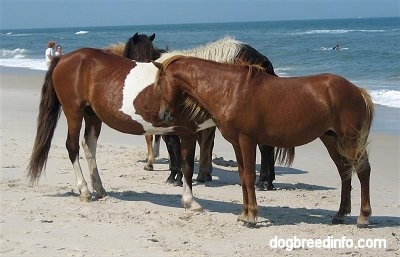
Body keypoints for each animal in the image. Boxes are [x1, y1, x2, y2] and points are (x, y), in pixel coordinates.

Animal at [155, 56, 374, 226]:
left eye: (159, 84)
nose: (163, 115)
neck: (230, 89)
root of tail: (357, 90)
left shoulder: (247, 141)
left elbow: (250, 176)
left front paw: (252, 215)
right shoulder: (237, 143)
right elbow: (243, 177)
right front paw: (244, 213)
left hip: (350, 140)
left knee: (363, 171)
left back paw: (363, 217)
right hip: (331, 140)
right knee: (344, 172)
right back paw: (340, 214)